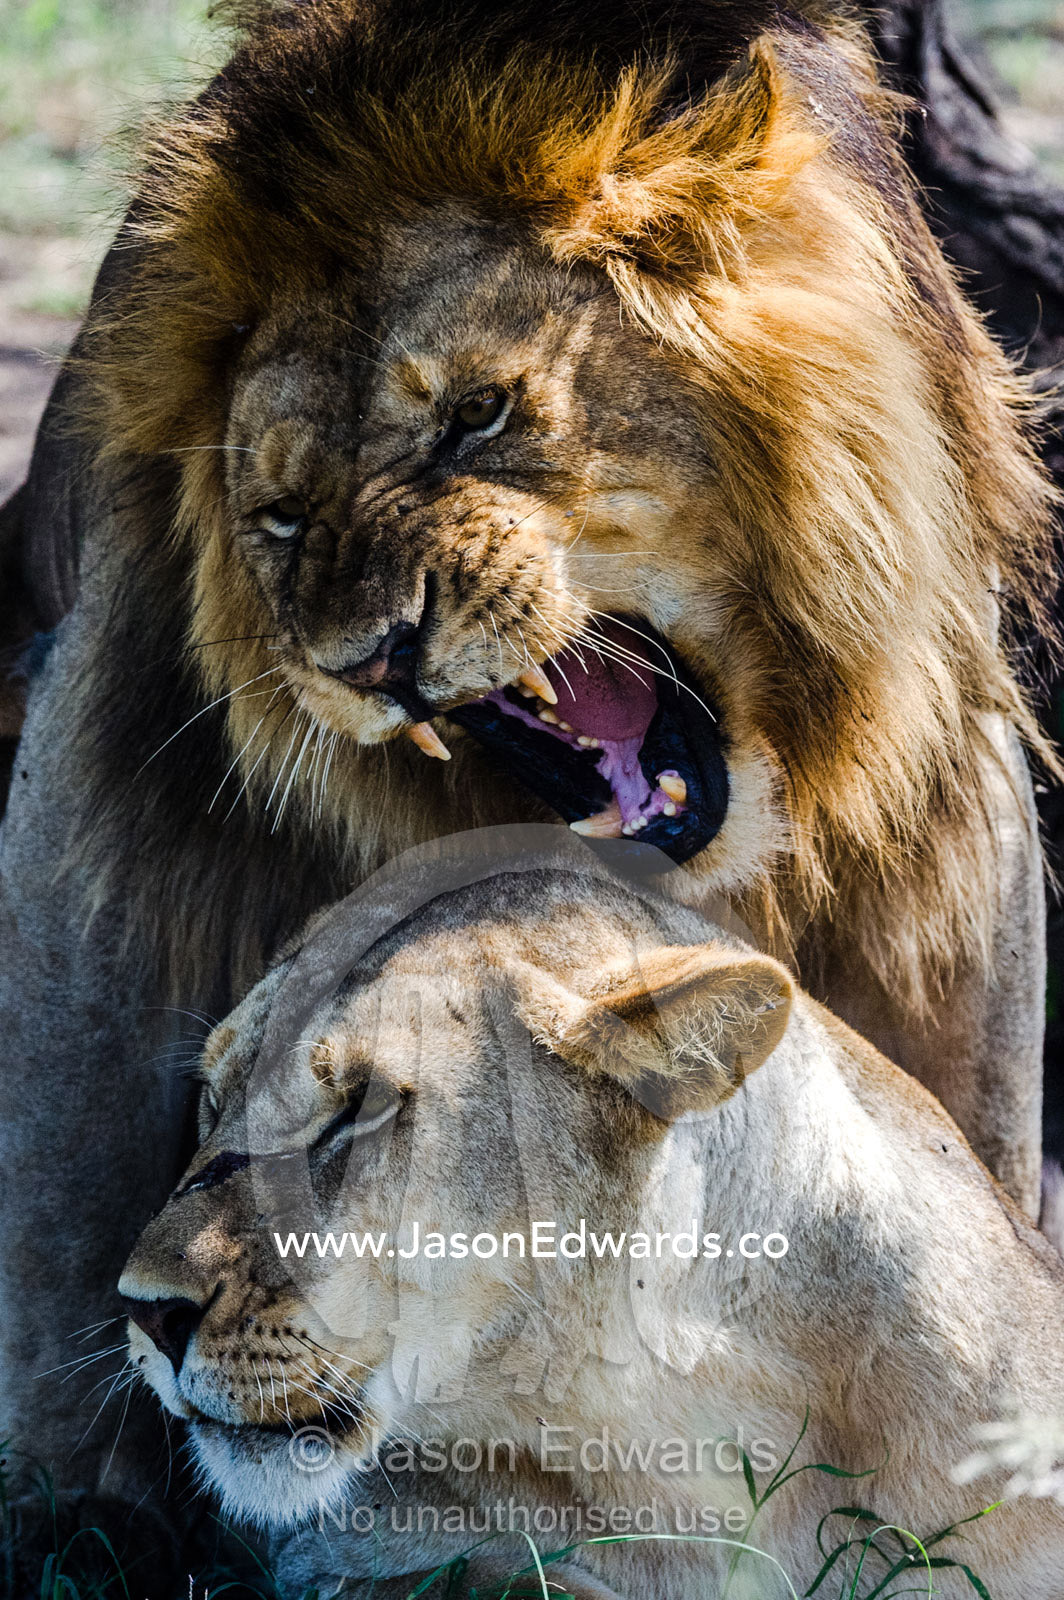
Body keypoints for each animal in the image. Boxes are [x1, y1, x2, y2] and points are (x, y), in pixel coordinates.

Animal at [0, 0, 1055, 1491]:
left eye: (476, 414)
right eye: (278, 514)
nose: (372, 656)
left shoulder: (956, 837)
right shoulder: (98, 789)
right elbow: (55, 1197)